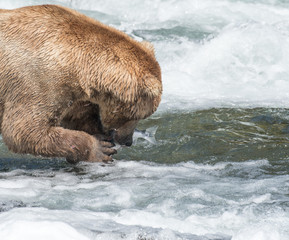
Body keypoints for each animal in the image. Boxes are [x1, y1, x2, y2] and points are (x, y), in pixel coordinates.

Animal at [0, 4, 161, 163]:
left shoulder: (70, 90)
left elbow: (77, 114)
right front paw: (100, 148)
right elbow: (25, 131)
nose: (128, 141)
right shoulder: (35, 80)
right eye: (137, 116)